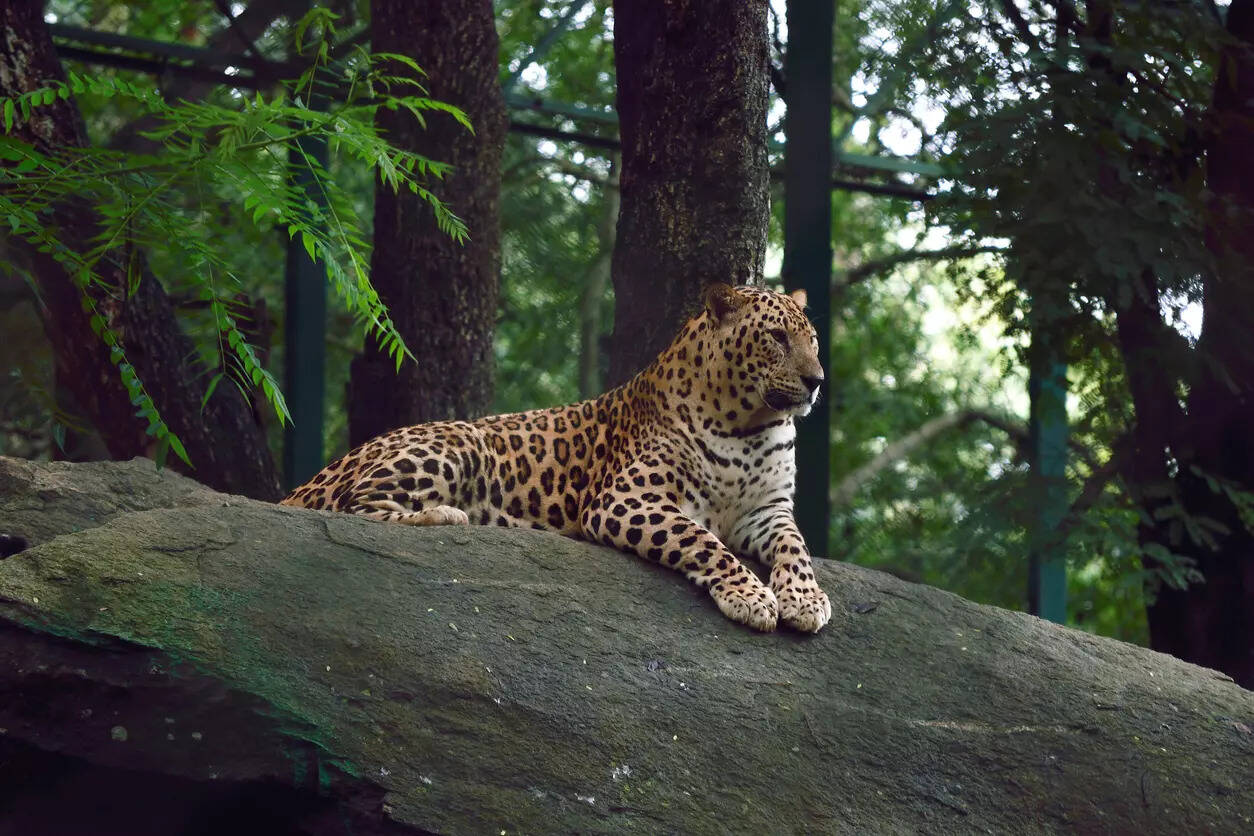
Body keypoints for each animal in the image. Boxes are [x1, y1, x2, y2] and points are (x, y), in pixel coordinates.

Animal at [281, 283, 832, 633]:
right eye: (777, 337)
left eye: (813, 340)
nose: (816, 380)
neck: (750, 426)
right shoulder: (626, 499)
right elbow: (701, 540)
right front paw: (751, 597)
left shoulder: (768, 510)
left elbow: (796, 547)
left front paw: (805, 600)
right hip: (458, 441)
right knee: (354, 507)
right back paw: (446, 515)